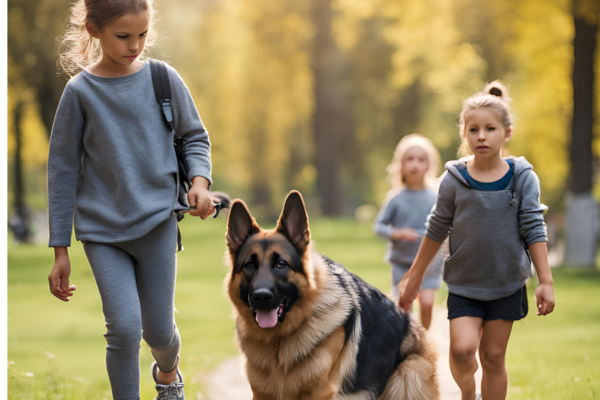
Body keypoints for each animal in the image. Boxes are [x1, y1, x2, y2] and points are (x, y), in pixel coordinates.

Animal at [223, 192, 438, 398]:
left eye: (281, 264)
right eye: (249, 265)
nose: (261, 296)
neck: (279, 342)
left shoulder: (319, 392)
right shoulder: (262, 393)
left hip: (407, 376)